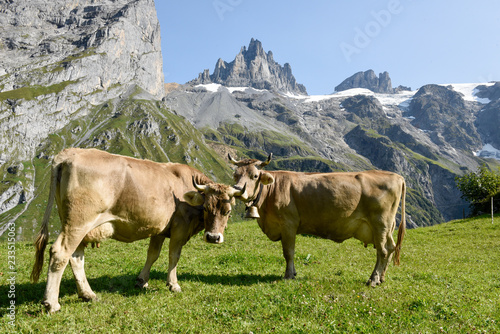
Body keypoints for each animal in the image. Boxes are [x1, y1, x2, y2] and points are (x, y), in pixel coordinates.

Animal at [30, 149, 242, 314]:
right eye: (205, 208)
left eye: (228, 211)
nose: (213, 237)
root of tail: (69, 153)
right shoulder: (179, 228)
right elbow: (174, 256)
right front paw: (173, 284)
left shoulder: (159, 229)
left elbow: (152, 254)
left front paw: (142, 281)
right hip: (78, 222)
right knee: (60, 253)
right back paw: (51, 303)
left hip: (79, 226)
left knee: (75, 257)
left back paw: (88, 294)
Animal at [229, 154, 404, 288]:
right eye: (235, 175)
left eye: (255, 176)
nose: (237, 189)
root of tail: (397, 176)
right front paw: (293, 273)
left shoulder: (288, 224)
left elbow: (288, 252)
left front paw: (288, 275)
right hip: (387, 228)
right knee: (391, 248)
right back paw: (381, 278)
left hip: (380, 223)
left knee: (382, 251)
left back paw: (373, 279)